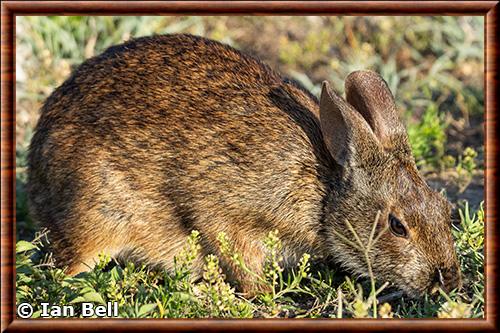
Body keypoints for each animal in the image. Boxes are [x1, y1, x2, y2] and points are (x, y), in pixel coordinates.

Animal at [27, 33, 460, 296]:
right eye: (397, 226)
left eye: (445, 209)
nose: (448, 282)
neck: (324, 191)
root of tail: (36, 179)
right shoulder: (226, 210)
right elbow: (238, 256)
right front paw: (265, 296)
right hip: (95, 216)